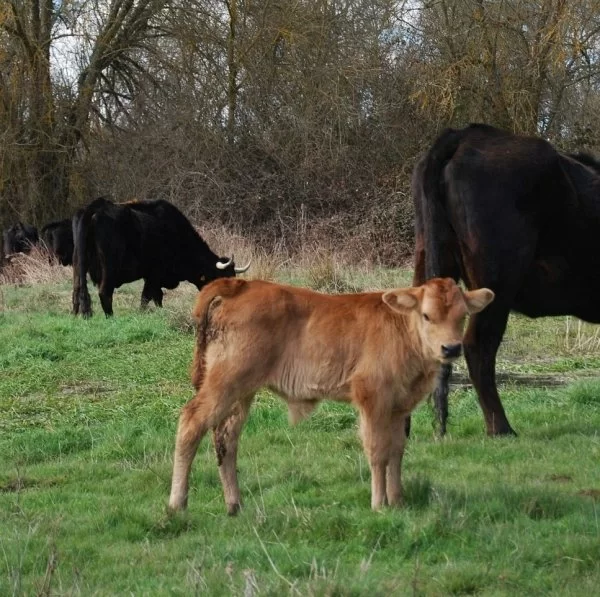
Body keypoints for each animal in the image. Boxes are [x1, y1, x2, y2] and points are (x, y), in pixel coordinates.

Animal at [73, 197, 251, 318]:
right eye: (225, 280)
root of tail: (96, 206)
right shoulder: (154, 274)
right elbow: (148, 297)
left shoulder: (153, 277)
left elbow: (155, 297)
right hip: (110, 266)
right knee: (104, 292)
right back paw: (111, 317)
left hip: (78, 264)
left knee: (77, 291)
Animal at [169, 276, 492, 512]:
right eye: (426, 315)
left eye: (463, 315)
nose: (451, 348)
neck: (403, 332)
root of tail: (242, 284)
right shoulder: (372, 399)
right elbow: (378, 451)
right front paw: (379, 504)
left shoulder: (399, 408)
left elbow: (396, 451)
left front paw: (398, 500)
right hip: (225, 383)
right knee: (191, 422)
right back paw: (177, 504)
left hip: (241, 393)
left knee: (226, 438)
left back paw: (235, 505)